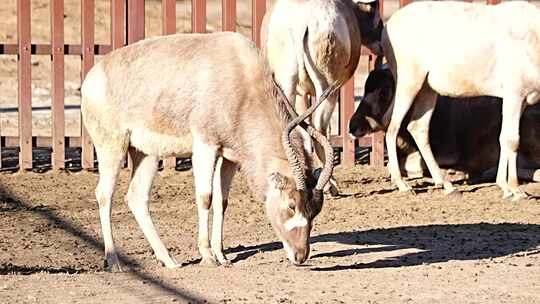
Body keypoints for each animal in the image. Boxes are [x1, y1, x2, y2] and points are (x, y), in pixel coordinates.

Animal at [80, 31, 336, 270]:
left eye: (316, 210)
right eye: (292, 205)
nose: (300, 256)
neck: (241, 78)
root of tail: (91, 79)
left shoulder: (230, 156)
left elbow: (222, 201)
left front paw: (221, 255)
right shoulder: (205, 145)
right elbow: (205, 197)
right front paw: (207, 256)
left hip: (146, 154)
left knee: (136, 196)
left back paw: (169, 260)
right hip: (112, 145)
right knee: (104, 194)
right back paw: (114, 261)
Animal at [260, 0, 382, 195]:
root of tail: (301, 21)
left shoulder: (302, 94)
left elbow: (303, 130)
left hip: (287, 84)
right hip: (326, 88)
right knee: (320, 127)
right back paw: (329, 185)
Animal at [382, 1, 540, 200]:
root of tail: (388, 26)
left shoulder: (522, 100)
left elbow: (505, 138)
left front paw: (505, 187)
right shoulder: (515, 94)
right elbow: (511, 139)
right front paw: (515, 189)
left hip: (427, 88)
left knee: (417, 127)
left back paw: (447, 185)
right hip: (409, 82)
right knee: (392, 127)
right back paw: (403, 185)